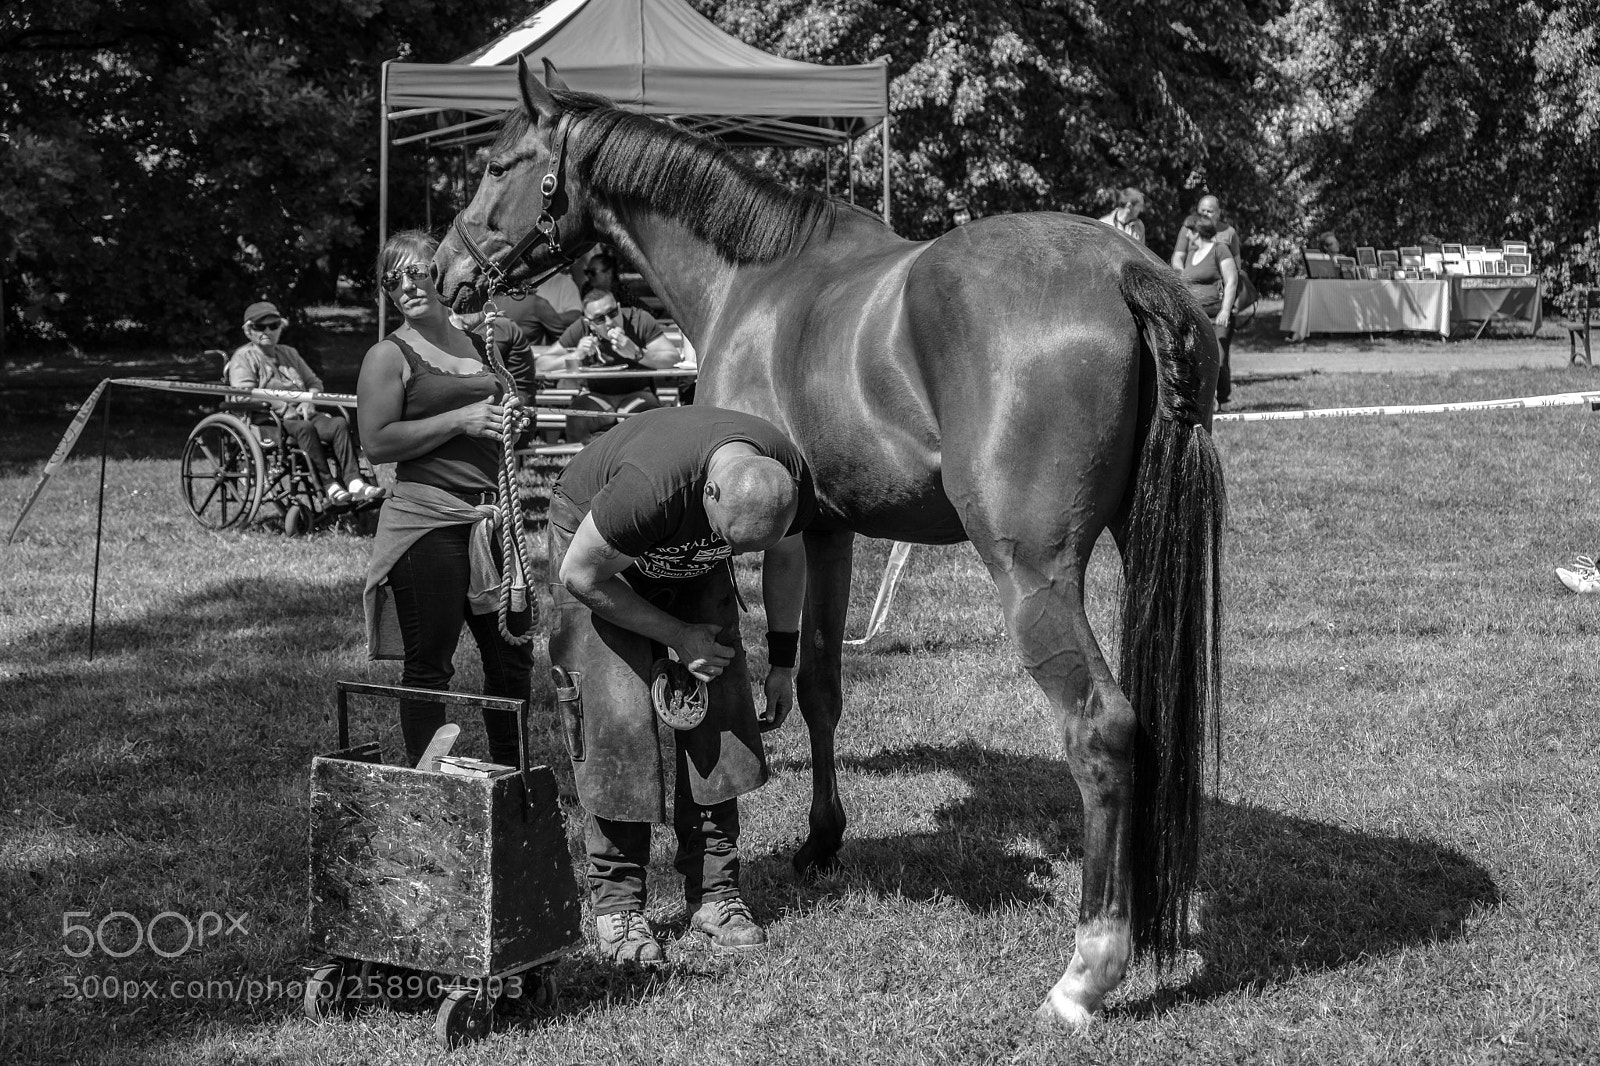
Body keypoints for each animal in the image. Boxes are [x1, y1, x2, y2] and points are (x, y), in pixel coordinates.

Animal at [435, 59, 1226, 1027]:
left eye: (497, 164)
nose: (443, 273)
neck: (758, 277)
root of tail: (1122, 270)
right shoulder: (833, 530)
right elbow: (817, 685)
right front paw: (823, 839)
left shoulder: (780, 526)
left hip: (1034, 576)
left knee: (1102, 729)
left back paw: (1087, 972)